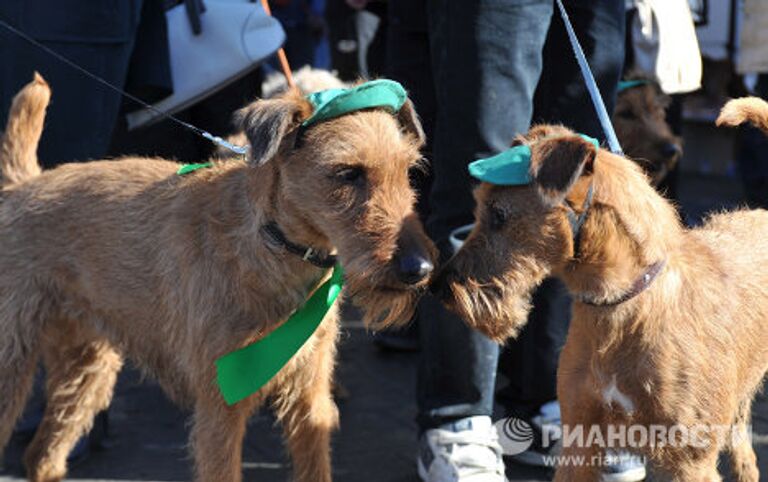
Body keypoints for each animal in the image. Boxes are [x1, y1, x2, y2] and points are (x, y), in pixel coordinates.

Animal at [0, 74, 432, 482]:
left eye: (408, 171)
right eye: (347, 173)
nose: (421, 269)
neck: (268, 242)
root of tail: (22, 186)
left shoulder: (310, 402)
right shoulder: (220, 409)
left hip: (86, 367)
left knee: (42, 455)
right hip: (14, 366)